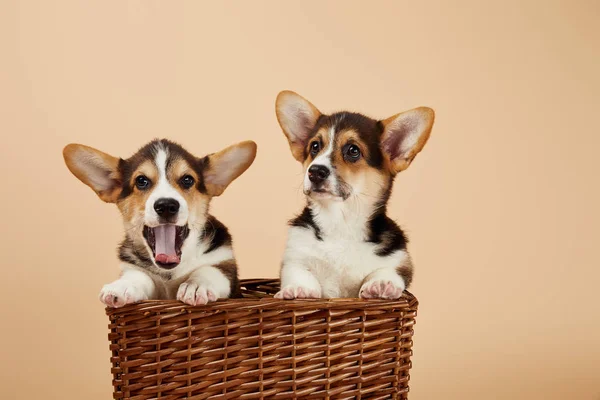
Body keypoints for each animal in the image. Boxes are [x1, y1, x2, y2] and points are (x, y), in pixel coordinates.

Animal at [62, 139, 255, 308]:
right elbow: (138, 276)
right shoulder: (133, 269)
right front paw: (122, 286)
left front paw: (198, 285)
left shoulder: (225, 263)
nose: (166, 206)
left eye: (187, 180)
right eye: (141, 181)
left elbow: (208, 270)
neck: (169, 273)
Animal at [274, 90, 434, 300]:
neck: (341, 222)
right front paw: (299, 289)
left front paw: (381, 284)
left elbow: (388, 271)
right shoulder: (294, 257)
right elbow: (298, 272)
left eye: (353, 150)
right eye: (315, 146)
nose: (315, 171)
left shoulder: (399, 260)